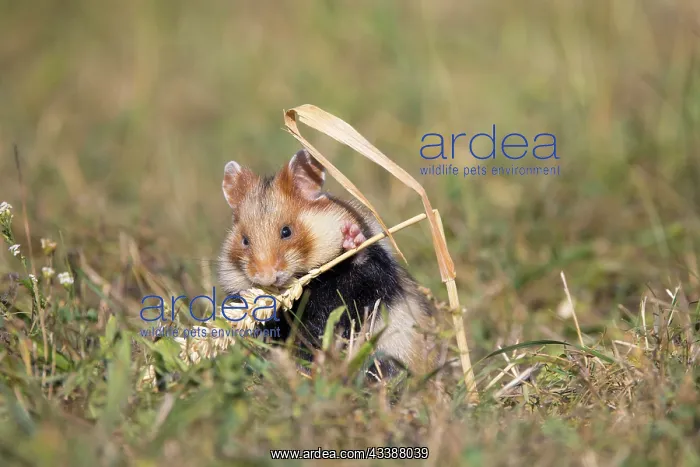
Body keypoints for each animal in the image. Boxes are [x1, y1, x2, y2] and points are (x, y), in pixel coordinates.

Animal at [217, 149, 440, 378]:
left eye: (286, 231)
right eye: (245, 240)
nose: (266, 277)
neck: (311, 283)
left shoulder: (372, 280)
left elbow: (364, 269)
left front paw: (351, 238)